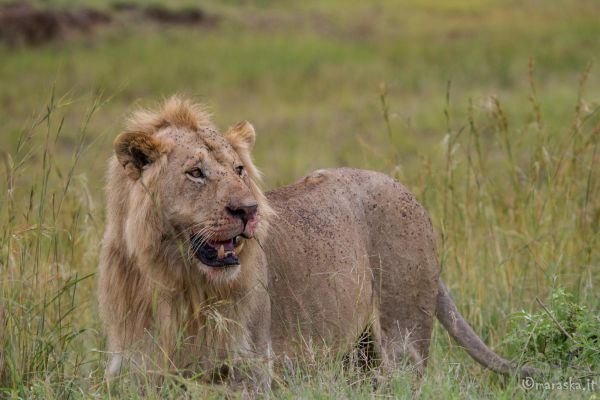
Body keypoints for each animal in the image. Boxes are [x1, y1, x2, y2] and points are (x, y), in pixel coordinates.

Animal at [98, 95, 540, 390]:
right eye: (195, 172)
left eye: (239, 170)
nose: (248, 210)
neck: (177, 282)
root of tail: (406, 192)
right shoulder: (135, 370)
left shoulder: (251, 369)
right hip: (358, 355)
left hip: (403, 339)